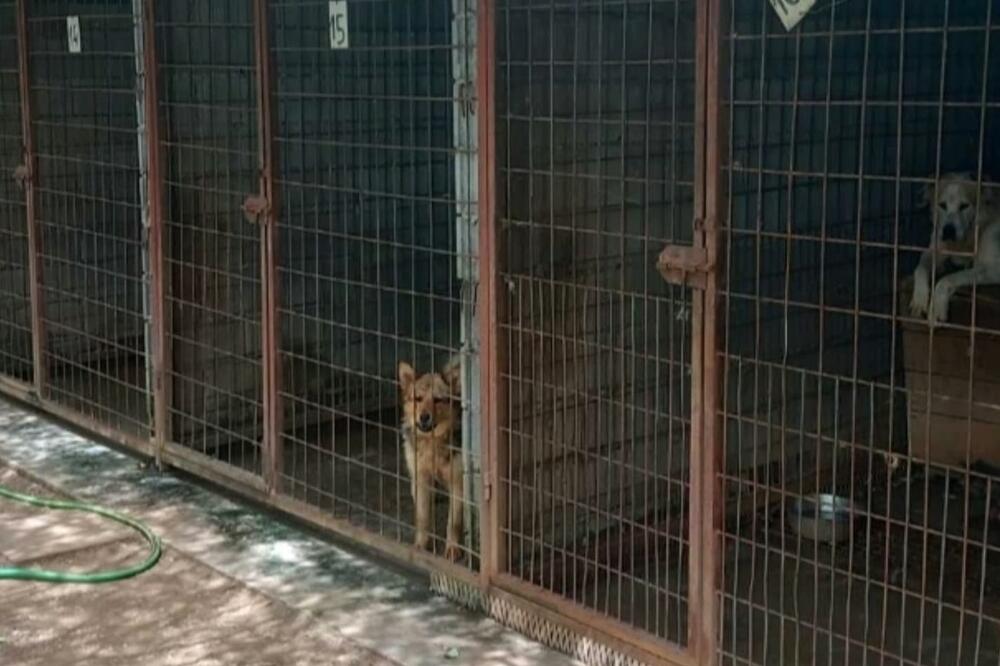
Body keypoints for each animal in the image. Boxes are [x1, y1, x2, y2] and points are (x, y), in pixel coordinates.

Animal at [396, 356, 462, 556]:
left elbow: (454, 522)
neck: (432, 442)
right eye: (417, 399)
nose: (423, 417)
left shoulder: (459, 484)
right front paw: (421, 546)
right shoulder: (420, 480)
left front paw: (452, 548)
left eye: (438, 400)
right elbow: (423, 518)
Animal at [908, 174, 1000, 324]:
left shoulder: (994, 268)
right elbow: (919, 268)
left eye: (964, 206)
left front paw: (937, 307)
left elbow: (948, 279)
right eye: (942, 205)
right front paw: (919, 299)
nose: (948, 230)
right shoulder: (934, 250)